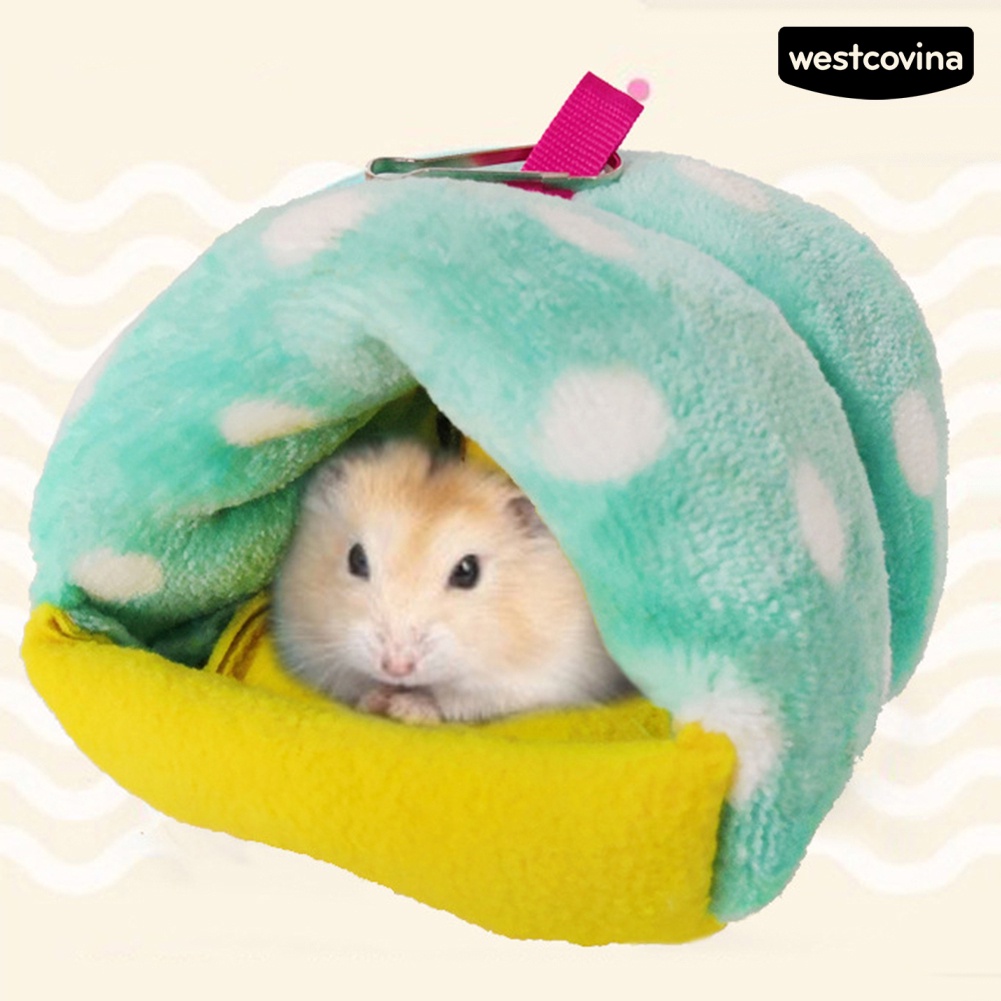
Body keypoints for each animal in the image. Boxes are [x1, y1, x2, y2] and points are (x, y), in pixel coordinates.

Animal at [270, 439, 633, 724]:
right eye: (356, 559)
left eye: (467, 571)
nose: (396, 667)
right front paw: (377, 698)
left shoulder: (536, 679)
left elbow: (455, 700)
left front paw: (406, 708)